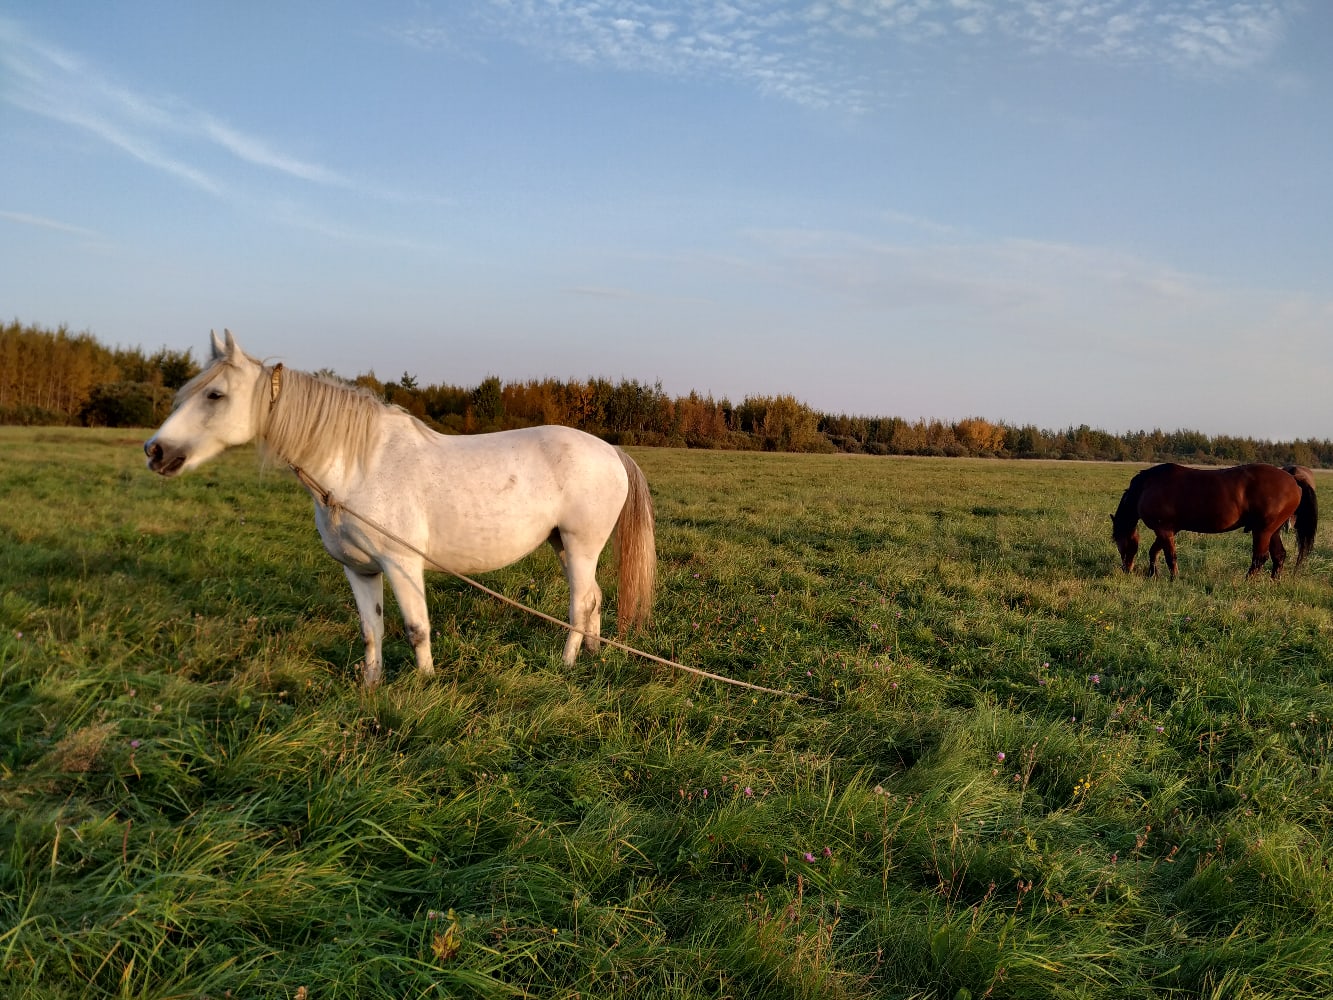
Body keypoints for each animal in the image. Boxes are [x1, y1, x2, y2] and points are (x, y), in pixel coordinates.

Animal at [145, 329, 655, 688]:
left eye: (215, 395)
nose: (155, 451)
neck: (358, 467)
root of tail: (611, 451)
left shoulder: (403, 564)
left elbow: (415, 627)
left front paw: (425, 685)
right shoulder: (359, 569)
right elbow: (372, 629)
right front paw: (371, 686)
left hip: (580, 545)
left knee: (580, 603)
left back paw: (566, 664)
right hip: (563, 546)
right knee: (595, 599)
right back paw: (592, 656)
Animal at [1109, 466, 1317, 584]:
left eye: (1121, 543)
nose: (1126, 570)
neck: (1147, 486)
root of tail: (1293, 478)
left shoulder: (1164, 530)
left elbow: (1170, 556)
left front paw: (1173, 579)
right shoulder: (1168, 530)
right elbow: (1155, 552)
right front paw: (1153, 574)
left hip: (1263, 531)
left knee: (1260, 558)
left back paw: (1246, 582)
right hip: (1272, 531)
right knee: (1279, 556)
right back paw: (1274, 582)